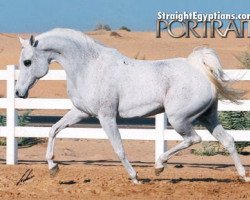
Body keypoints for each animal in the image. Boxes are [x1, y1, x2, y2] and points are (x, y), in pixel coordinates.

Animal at [15, 27, 248, 183]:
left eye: (27, 62)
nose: (18, 92)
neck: (88, 66)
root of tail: (200, 70)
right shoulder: (81, 112)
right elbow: (53, 130)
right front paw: (53, 167)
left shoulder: (106, 116)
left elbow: (119, 148)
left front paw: (135, 177)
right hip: (207, 117)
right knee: (228, 140)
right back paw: (243, 177)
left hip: (179, 119)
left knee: (194, 139)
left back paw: (158, 166)